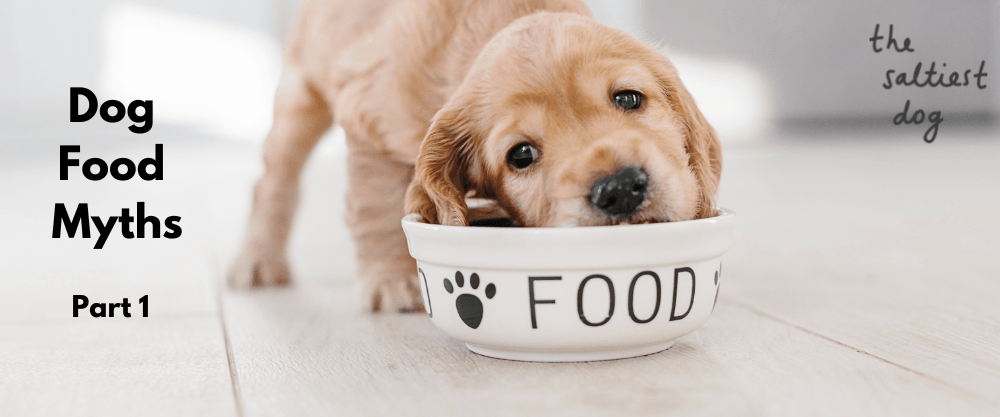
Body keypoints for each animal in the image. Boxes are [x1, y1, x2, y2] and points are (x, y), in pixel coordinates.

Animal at [230, 0, 724, 312]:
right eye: (521, 154)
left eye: (628, 98)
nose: (619, 190)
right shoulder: (368, 119)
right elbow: (376, 208)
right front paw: (390, 281)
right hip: (301, 93)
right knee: (273, 180)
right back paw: (258, 262)